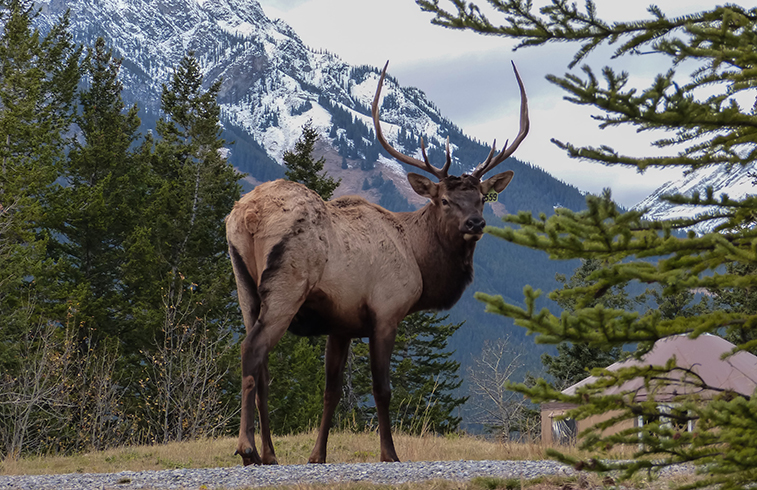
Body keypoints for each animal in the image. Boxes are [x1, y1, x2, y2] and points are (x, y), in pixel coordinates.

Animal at [225, 61, 529, 466]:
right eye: (444, 200)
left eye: (481, 198)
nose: (475, 223)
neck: (418, 258)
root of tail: (249, 215)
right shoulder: (386, 312)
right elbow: (381, 388)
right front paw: (389, 453)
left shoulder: (341, 324)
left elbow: (332, 391)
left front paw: (317, 455)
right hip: (286, 287)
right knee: (252, 351)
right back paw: (247, 450)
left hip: (245, 288)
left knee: (260, 366)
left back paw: (270, 454)